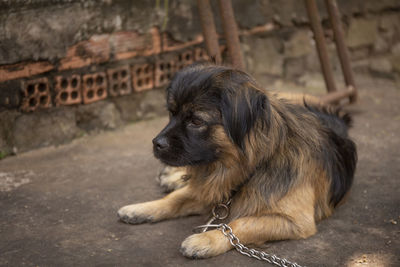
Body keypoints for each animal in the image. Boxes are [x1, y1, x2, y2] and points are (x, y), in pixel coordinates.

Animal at [117, 62, 358, 260]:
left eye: (196, 121)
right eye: (171, 113)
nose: (156, 143)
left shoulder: (296, 221)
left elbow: (241, 223)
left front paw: (206, 240)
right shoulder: (211, 187)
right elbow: (176, 198)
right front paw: (141, 209)